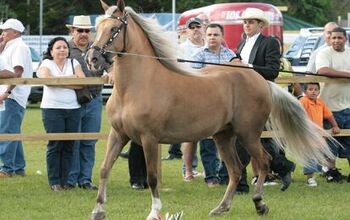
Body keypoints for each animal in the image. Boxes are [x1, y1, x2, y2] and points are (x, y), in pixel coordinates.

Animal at [86, 0, 334, 219]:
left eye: (115, 28)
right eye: (98, 27)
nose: (92, 58)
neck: (135, 88)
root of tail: (261, 80)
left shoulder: (149, 139)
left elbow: (152, 177)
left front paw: (154, 212)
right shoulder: (119, 134)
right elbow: (104, 169)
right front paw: (98, 211)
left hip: (248, 134)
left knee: (263, 161)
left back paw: (259, 203)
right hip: (223, 136)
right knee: (235, 170)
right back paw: (221, 208)